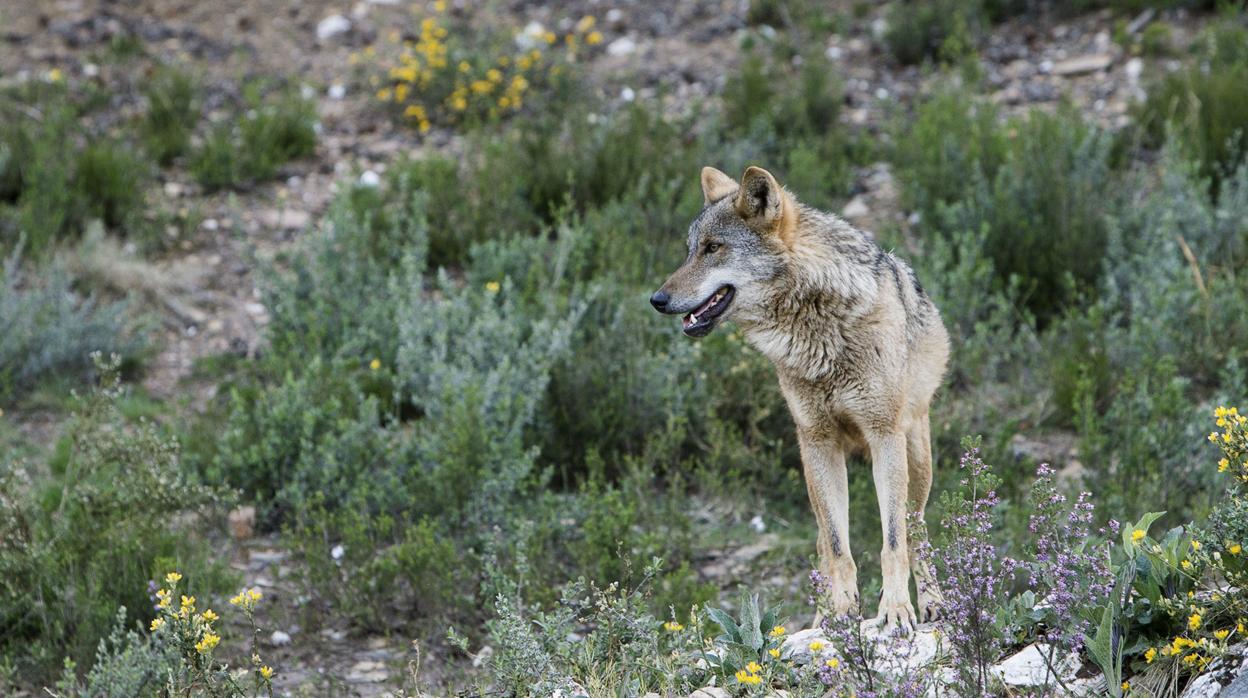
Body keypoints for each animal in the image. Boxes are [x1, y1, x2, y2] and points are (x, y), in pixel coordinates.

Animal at [648, 166, 948, 631]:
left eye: (714, 248)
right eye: (690, 251)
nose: (657, 300)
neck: (820, 328)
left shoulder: (883, 435)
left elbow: (893, 542)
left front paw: (896, 610)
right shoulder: (817, 441)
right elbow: (839, 548)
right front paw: (840, 614)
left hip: (915, 458)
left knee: (917, 532)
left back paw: (932, 603)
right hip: (813, 467)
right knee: (825, 542)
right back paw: (822, 615)